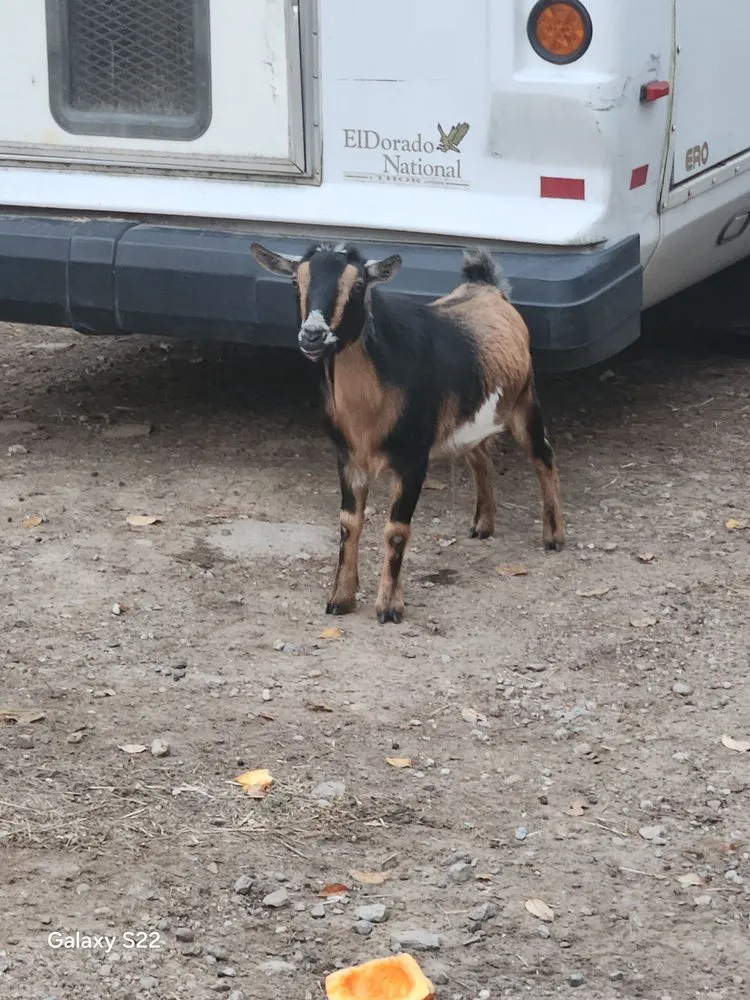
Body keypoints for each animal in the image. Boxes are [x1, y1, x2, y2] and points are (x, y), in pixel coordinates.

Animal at [250, 240, 565, 624]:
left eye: (358, 285)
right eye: (296, 282)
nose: (313, 335)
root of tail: (486, 287)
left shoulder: (413, 459)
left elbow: (396, 530)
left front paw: (389, 607)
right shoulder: (348, 458)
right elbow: (348, 523)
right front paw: (340, 599)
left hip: (524, 400)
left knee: (543, 456)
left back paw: (554, 537)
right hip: (469, 420)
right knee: (481, 458)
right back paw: (483, 525)